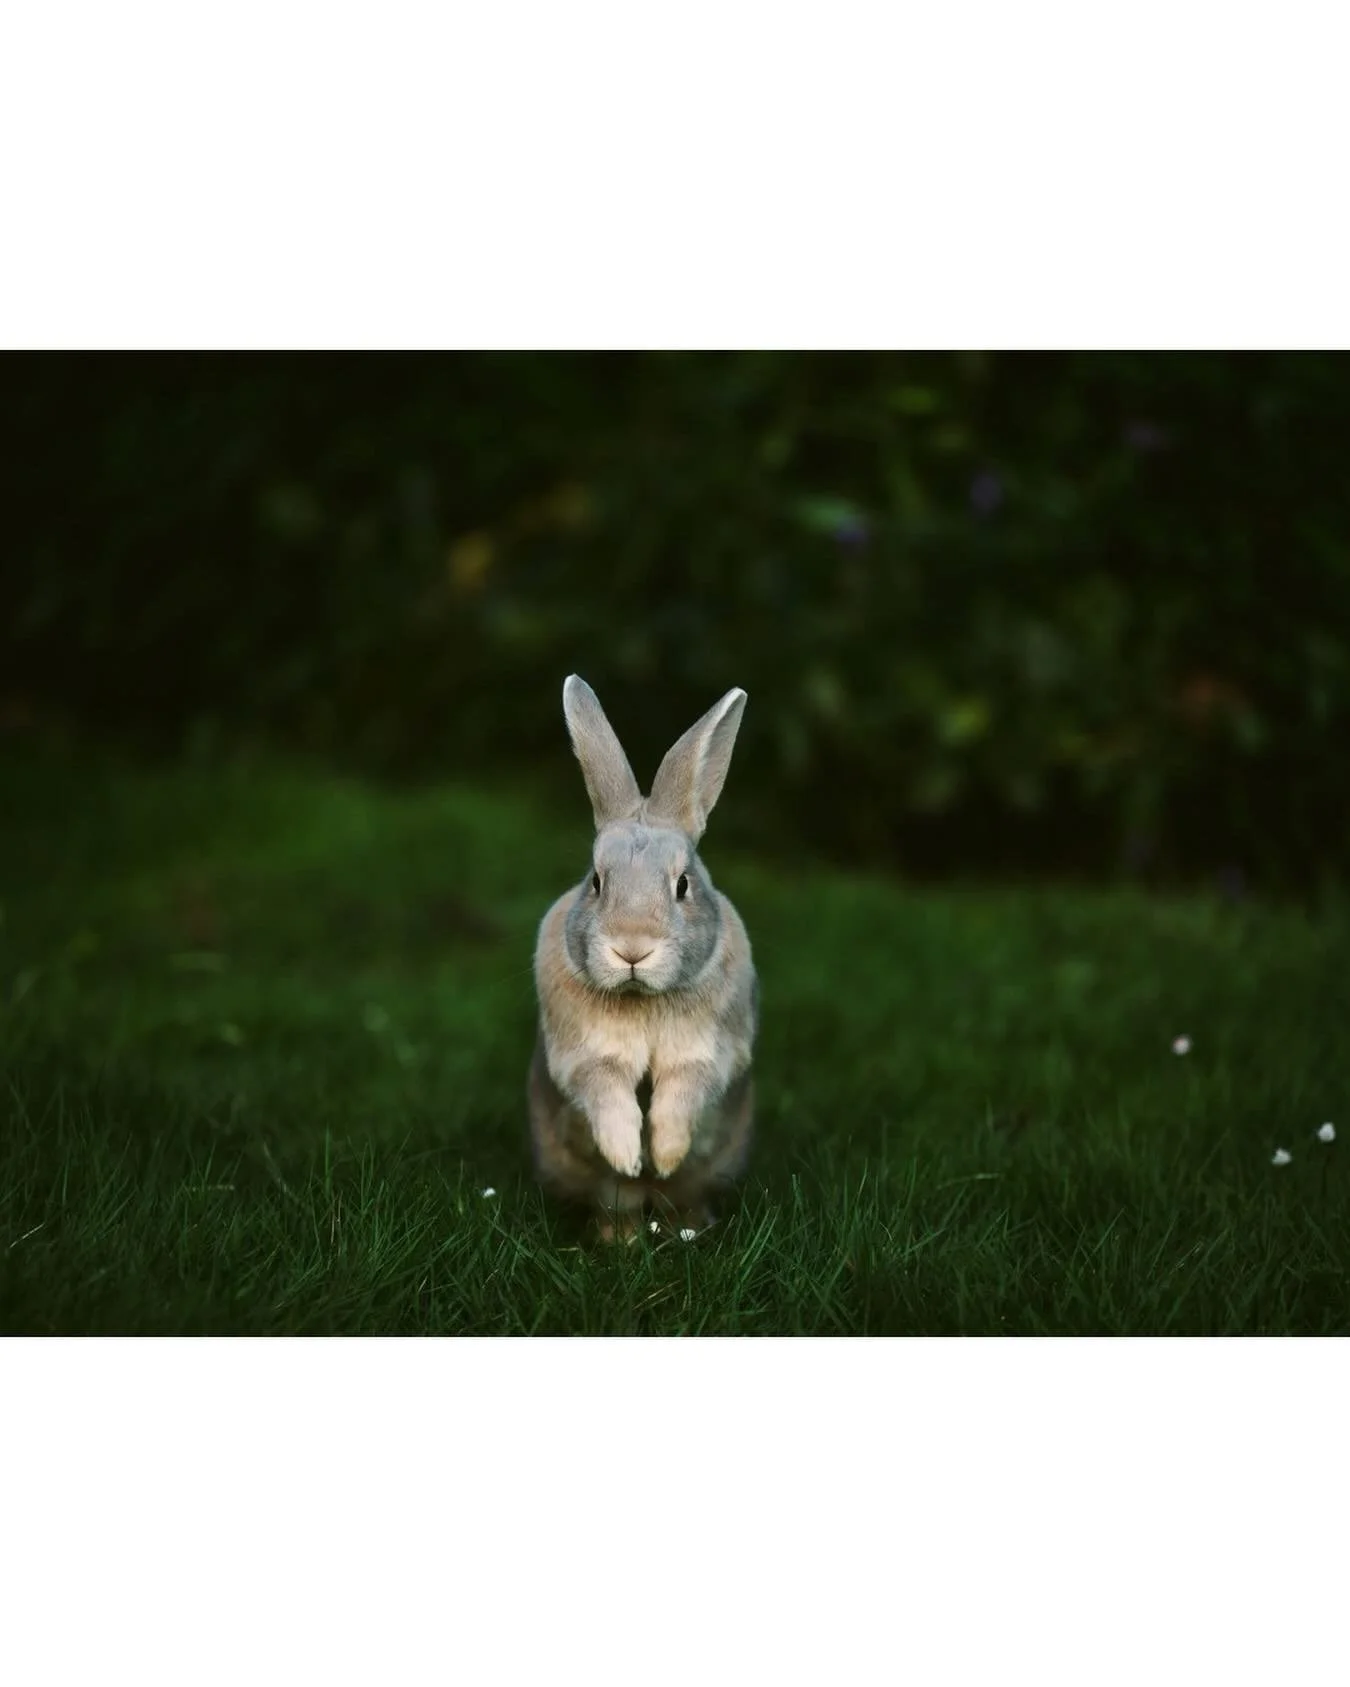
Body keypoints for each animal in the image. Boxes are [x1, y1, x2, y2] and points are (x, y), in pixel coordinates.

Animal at [528, 674, 758, 1242]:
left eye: (683, 885)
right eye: (595, 882)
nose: (632, 948)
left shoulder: (706, 1053)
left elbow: (684, 1091)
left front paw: (666, 1155)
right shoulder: (588, 1056)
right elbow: (605, 1091)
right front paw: (631, 1157)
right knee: (620, 1204)